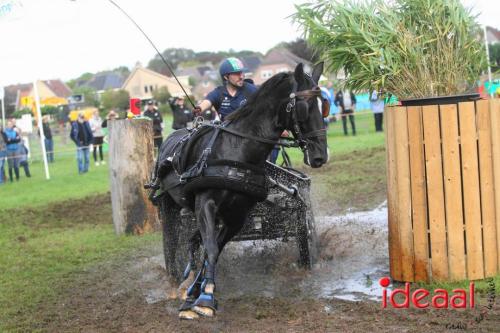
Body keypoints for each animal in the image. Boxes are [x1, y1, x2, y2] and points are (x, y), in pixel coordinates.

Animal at [155, 63, 328, 320]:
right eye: (304, 107)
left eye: (323, 106)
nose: (320, 156)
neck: (237, 150)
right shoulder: (205, 204)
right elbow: (211, 248)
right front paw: (203, 297)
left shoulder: (237, 216)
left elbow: (212, 250)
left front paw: (199, 292)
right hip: (171, 205)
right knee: (175, 241)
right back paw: (178, 278)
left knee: (195, 241)